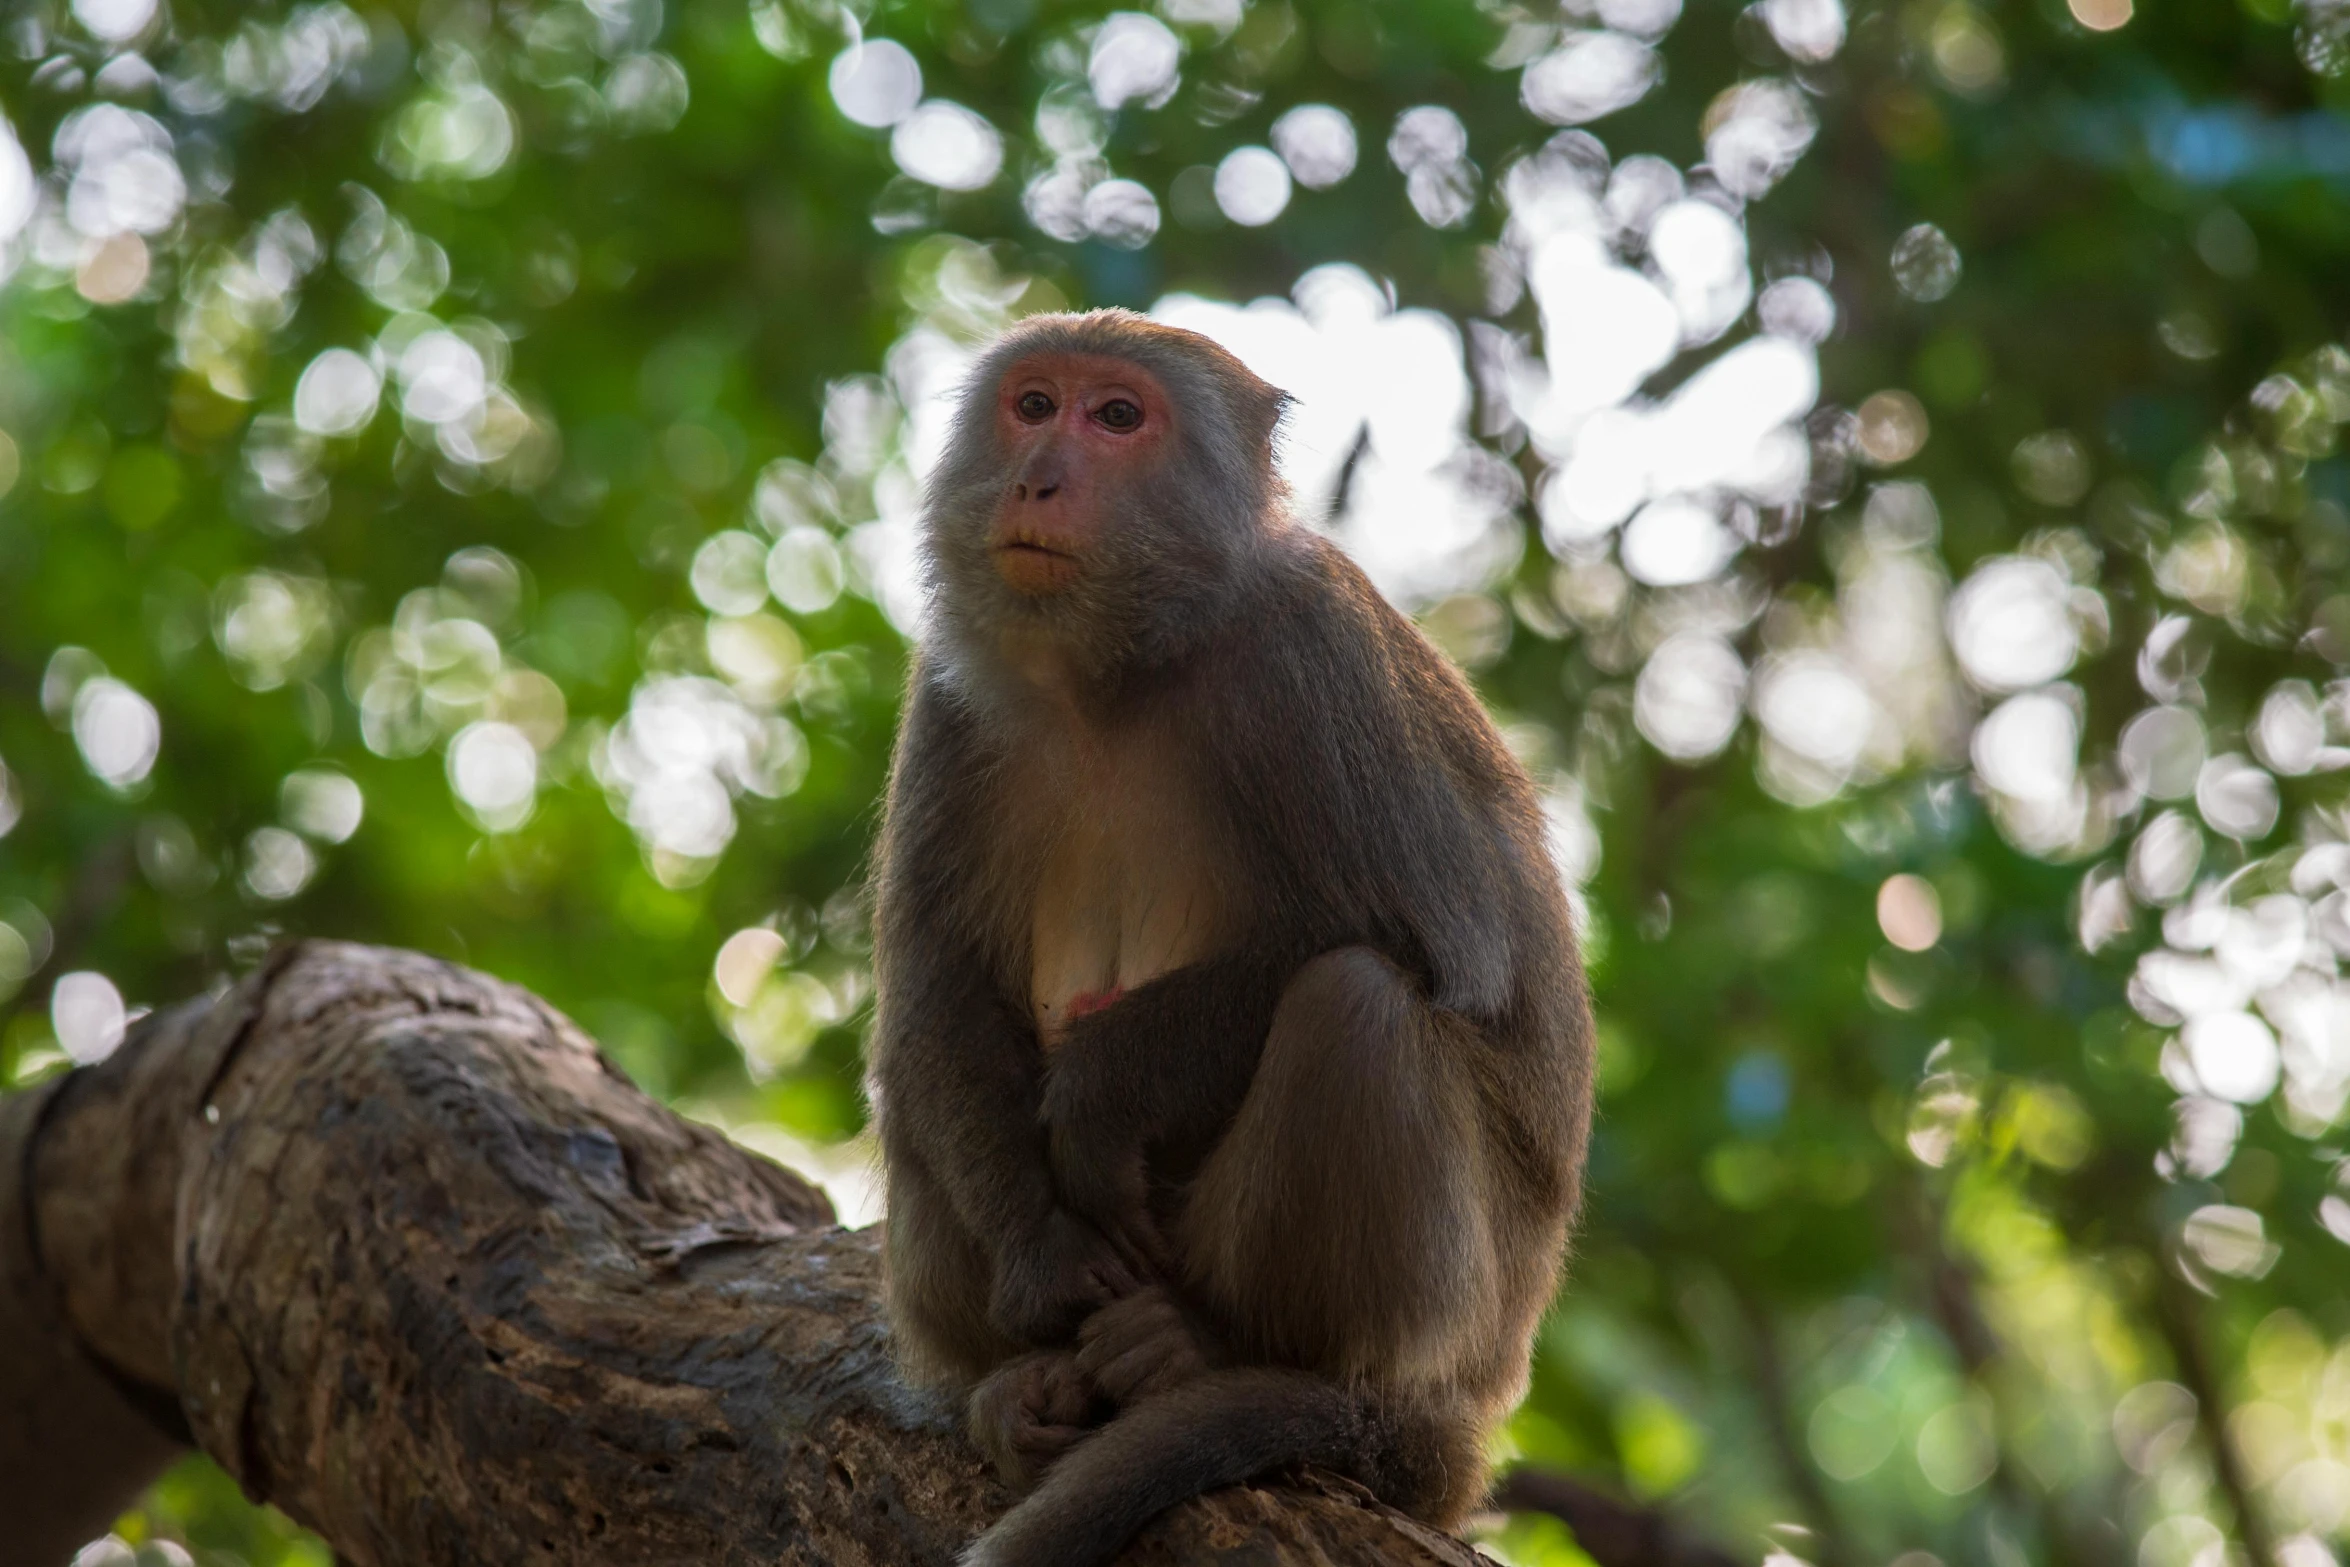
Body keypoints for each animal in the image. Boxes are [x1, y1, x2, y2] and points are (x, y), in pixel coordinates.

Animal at [864, 310, 1597, 1567]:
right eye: (1033, 403)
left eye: (1117, 417)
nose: (1036, 475)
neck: (1121, 670)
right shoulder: (951, 701)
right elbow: (935, 986)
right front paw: (1041, 1254)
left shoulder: (1311, 655)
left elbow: (1446, 947)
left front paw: (1104, 1087)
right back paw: (1012, 1383)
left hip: (1453, 1314)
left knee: (1354, 1003)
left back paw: (1221, 1350)